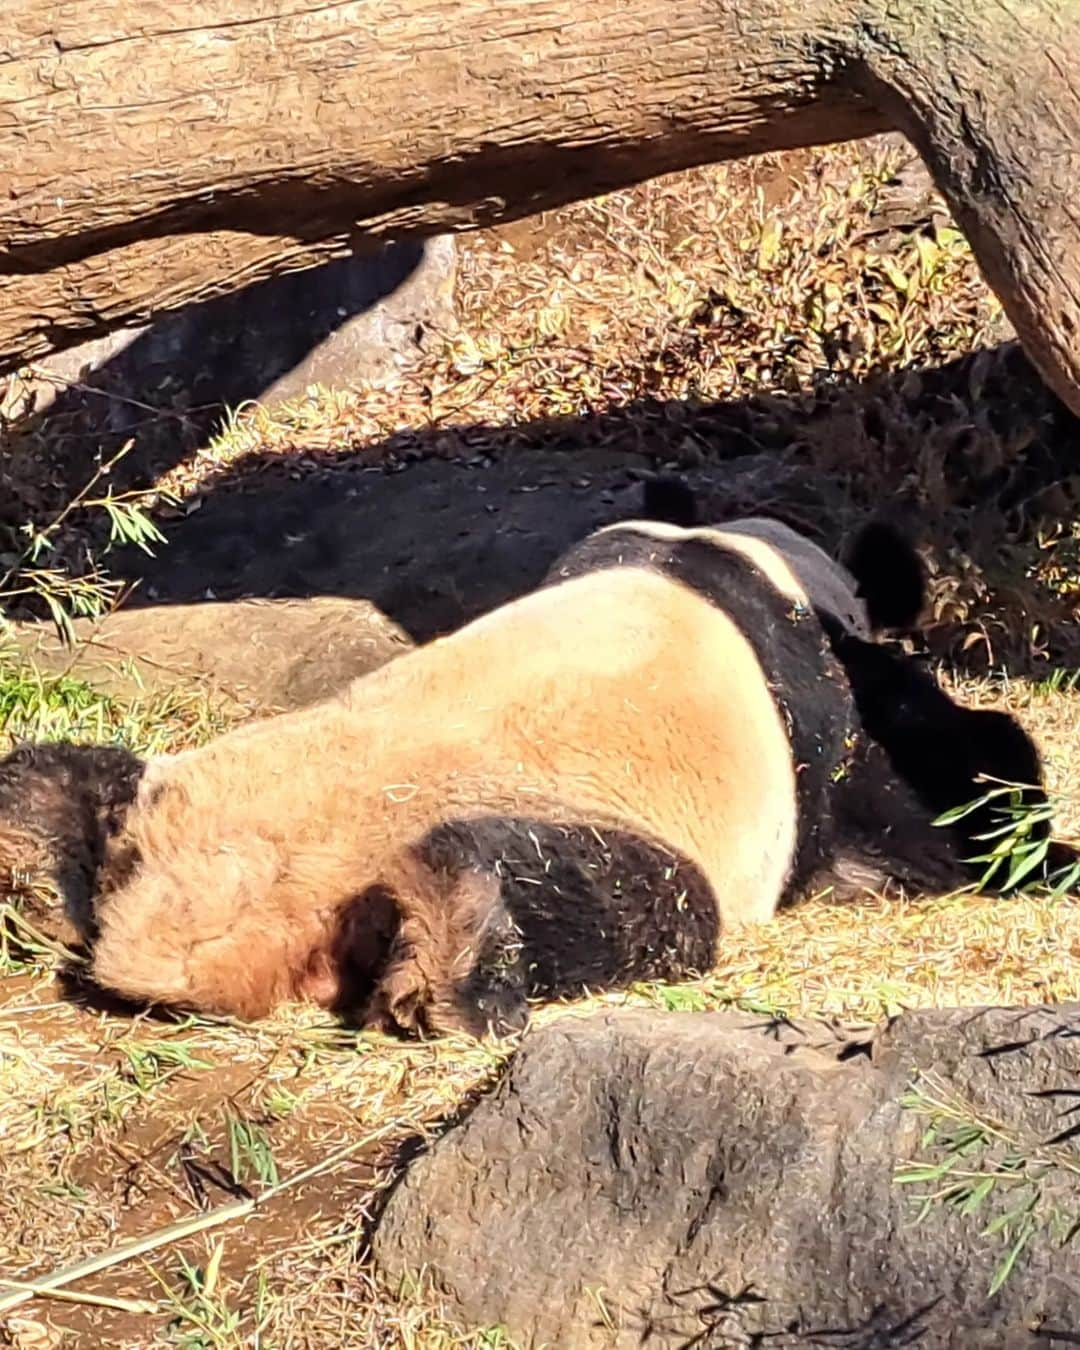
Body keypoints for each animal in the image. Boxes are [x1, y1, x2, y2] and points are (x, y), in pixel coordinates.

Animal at [0, 491, 1063, 1036]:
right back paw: (451, 952)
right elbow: (936, 802)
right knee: (625, 897)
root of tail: (200, 915)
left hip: (170, 796)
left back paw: (32, 869)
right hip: (562, 832)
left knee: (67, 774)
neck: (723, 554)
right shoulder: (823, 719)